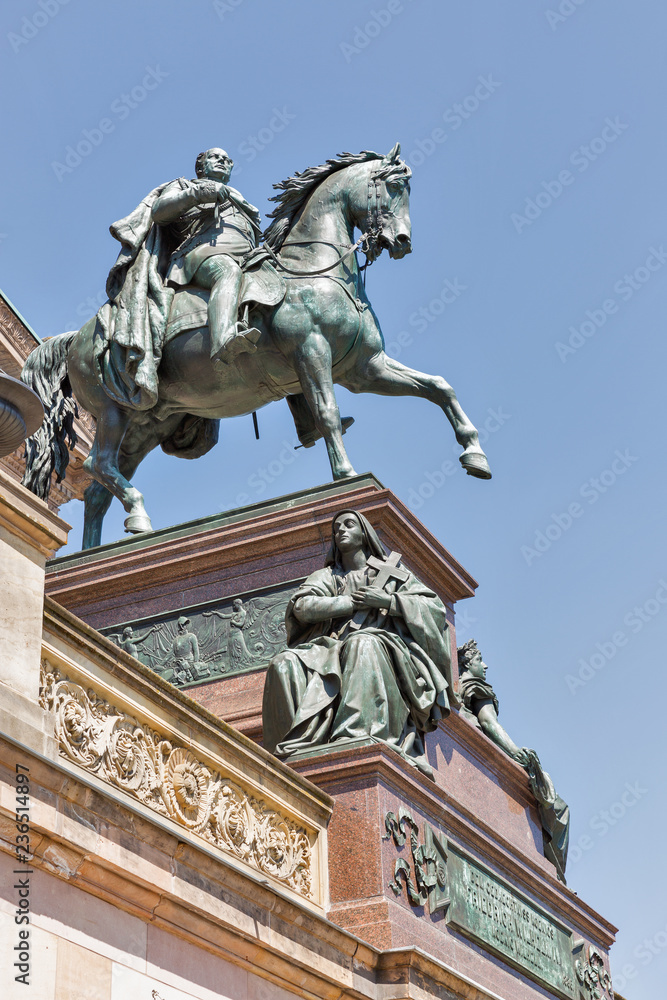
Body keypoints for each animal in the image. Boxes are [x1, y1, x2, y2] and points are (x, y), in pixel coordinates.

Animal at [22, 143, 490, 548]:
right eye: (394, 185)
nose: (402, 242)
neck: (313, 272)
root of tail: (75, 338)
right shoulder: (312, 353)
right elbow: (327, 414)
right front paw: (346, 474)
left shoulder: (364, 367)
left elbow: (439, 387)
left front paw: (474, 454)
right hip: (114, 410)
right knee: (97, 465)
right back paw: (132, 519)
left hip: (148, 422)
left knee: (99, 487)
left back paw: (97, 551)